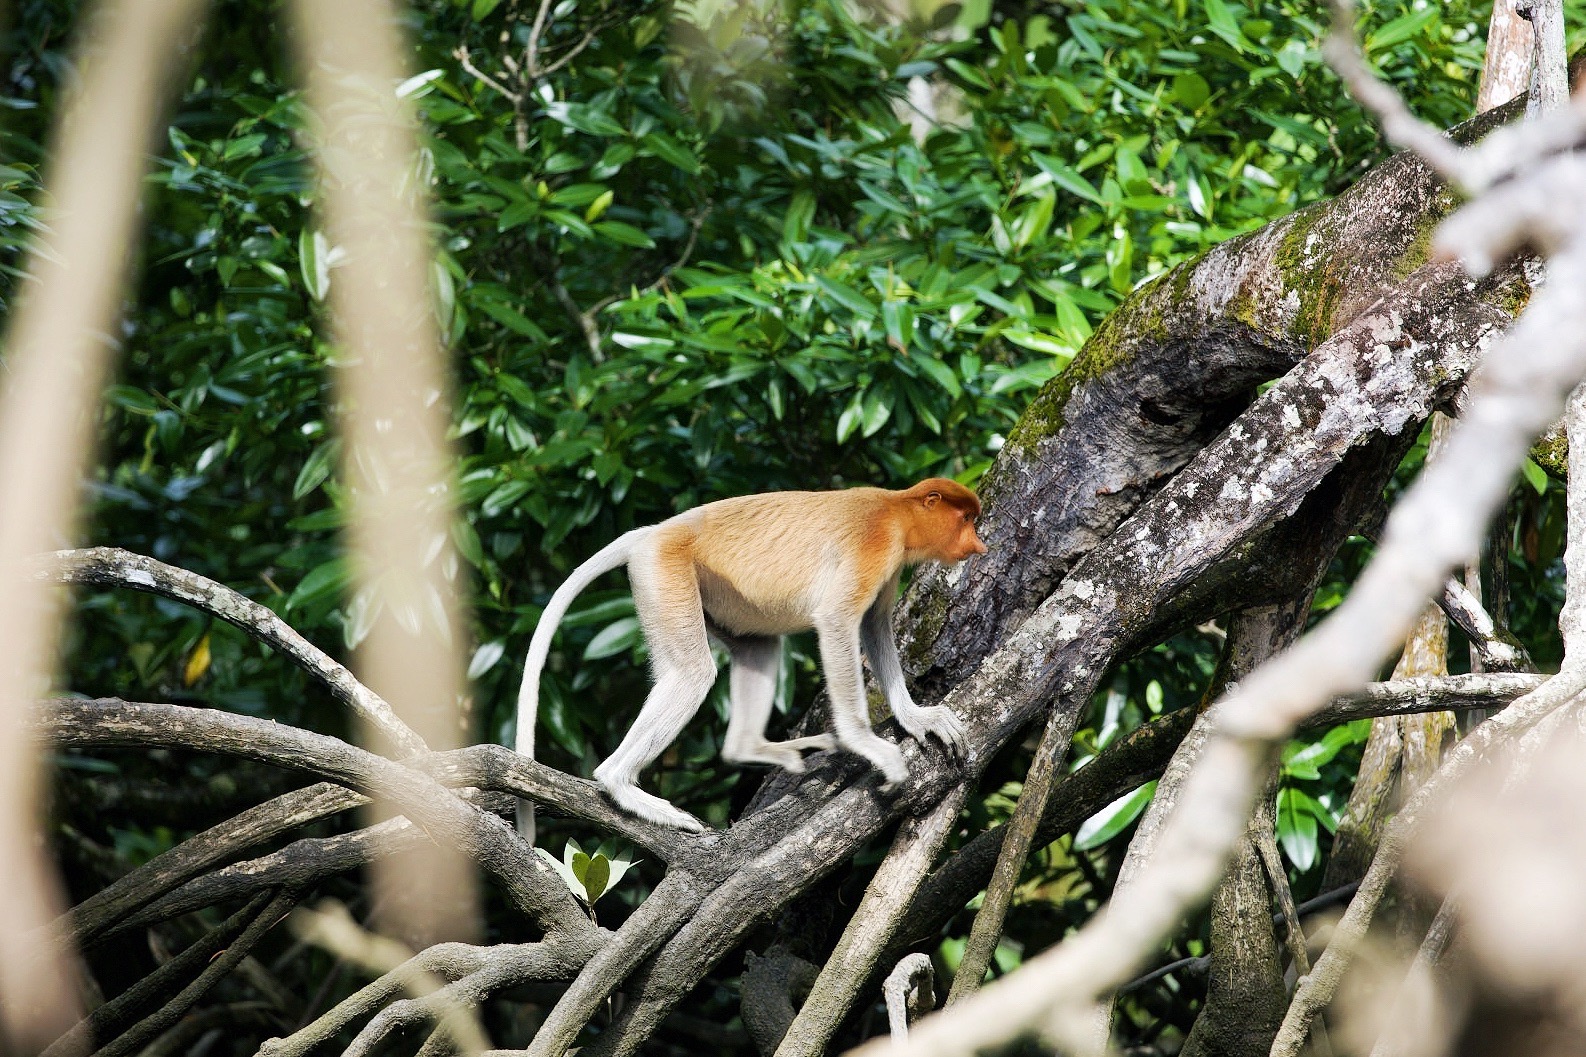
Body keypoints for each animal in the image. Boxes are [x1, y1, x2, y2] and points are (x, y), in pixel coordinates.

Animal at [513, 472, 983, 837]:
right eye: (966, 519)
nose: (978, 546)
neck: (897, 509)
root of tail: (652, 531)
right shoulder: (876, 544)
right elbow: (837, 621)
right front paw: (867, 745)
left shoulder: (889, 566)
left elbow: (874, 627)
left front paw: (917, 717)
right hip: (663, 569)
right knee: (692, 674)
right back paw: (622, 785)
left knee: (759, 646)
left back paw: (754, 747)